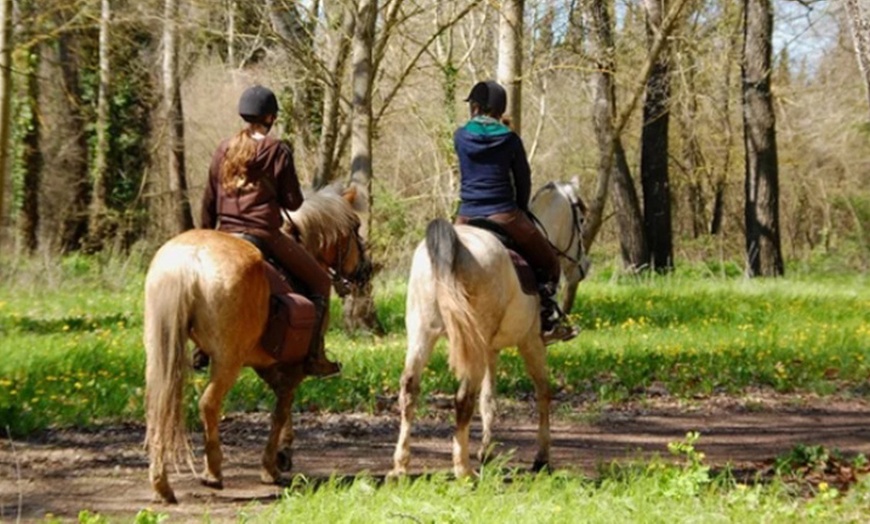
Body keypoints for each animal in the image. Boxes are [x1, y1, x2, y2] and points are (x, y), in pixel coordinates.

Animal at [144, 184, 374, 504]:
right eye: (354, 228)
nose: (366, 270)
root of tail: (189, 260)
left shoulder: (266, 364)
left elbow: (281, 404)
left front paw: (281, 455)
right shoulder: (292, 367)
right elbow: (282, 408)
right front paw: (273, 463)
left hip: (160, 353)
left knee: (158, 407)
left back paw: (161, 484)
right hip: (227, 361)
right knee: (209, 404)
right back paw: (213, 472)